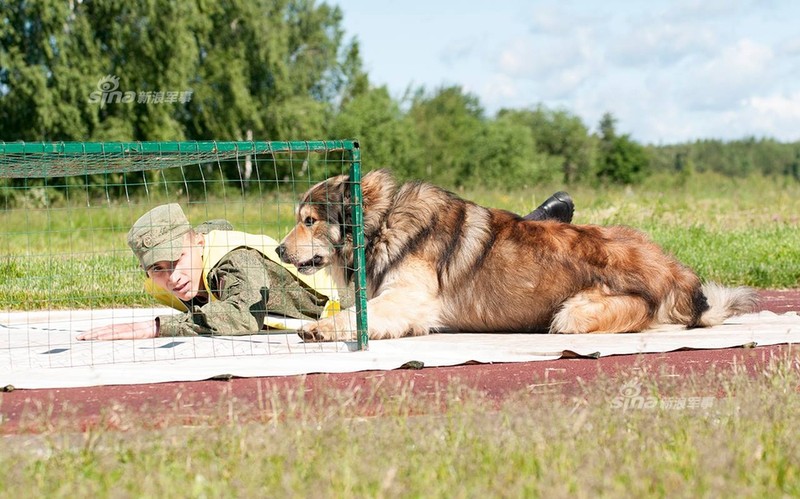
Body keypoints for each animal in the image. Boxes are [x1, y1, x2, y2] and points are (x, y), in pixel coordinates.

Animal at [278, 170, 760, 342]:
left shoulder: (406, 302)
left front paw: (319, 328)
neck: (383, 223)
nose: (280, 250)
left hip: (574, 314)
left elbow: (354, 316)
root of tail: (679, 276)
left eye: (309, 220)